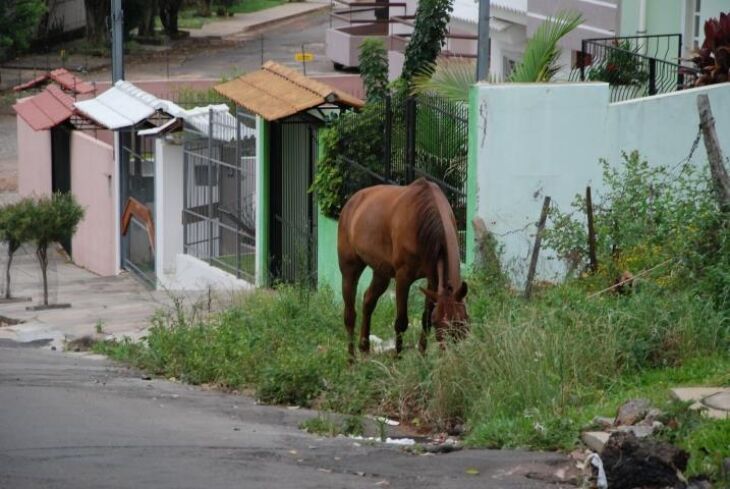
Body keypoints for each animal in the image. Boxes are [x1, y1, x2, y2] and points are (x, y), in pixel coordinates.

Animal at [336, 177, 466, 356]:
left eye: (460, 322)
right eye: (439, 325)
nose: (453, 356)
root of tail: (351, 202)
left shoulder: (433, 278)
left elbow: (425, 318)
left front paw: (422, 355)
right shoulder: (403, 277)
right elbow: (401, 321)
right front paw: (397, 357)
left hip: (381, 272)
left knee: (368, 300)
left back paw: (365, 348)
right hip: (349, 268)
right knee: (349, 314)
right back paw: (351, 358)